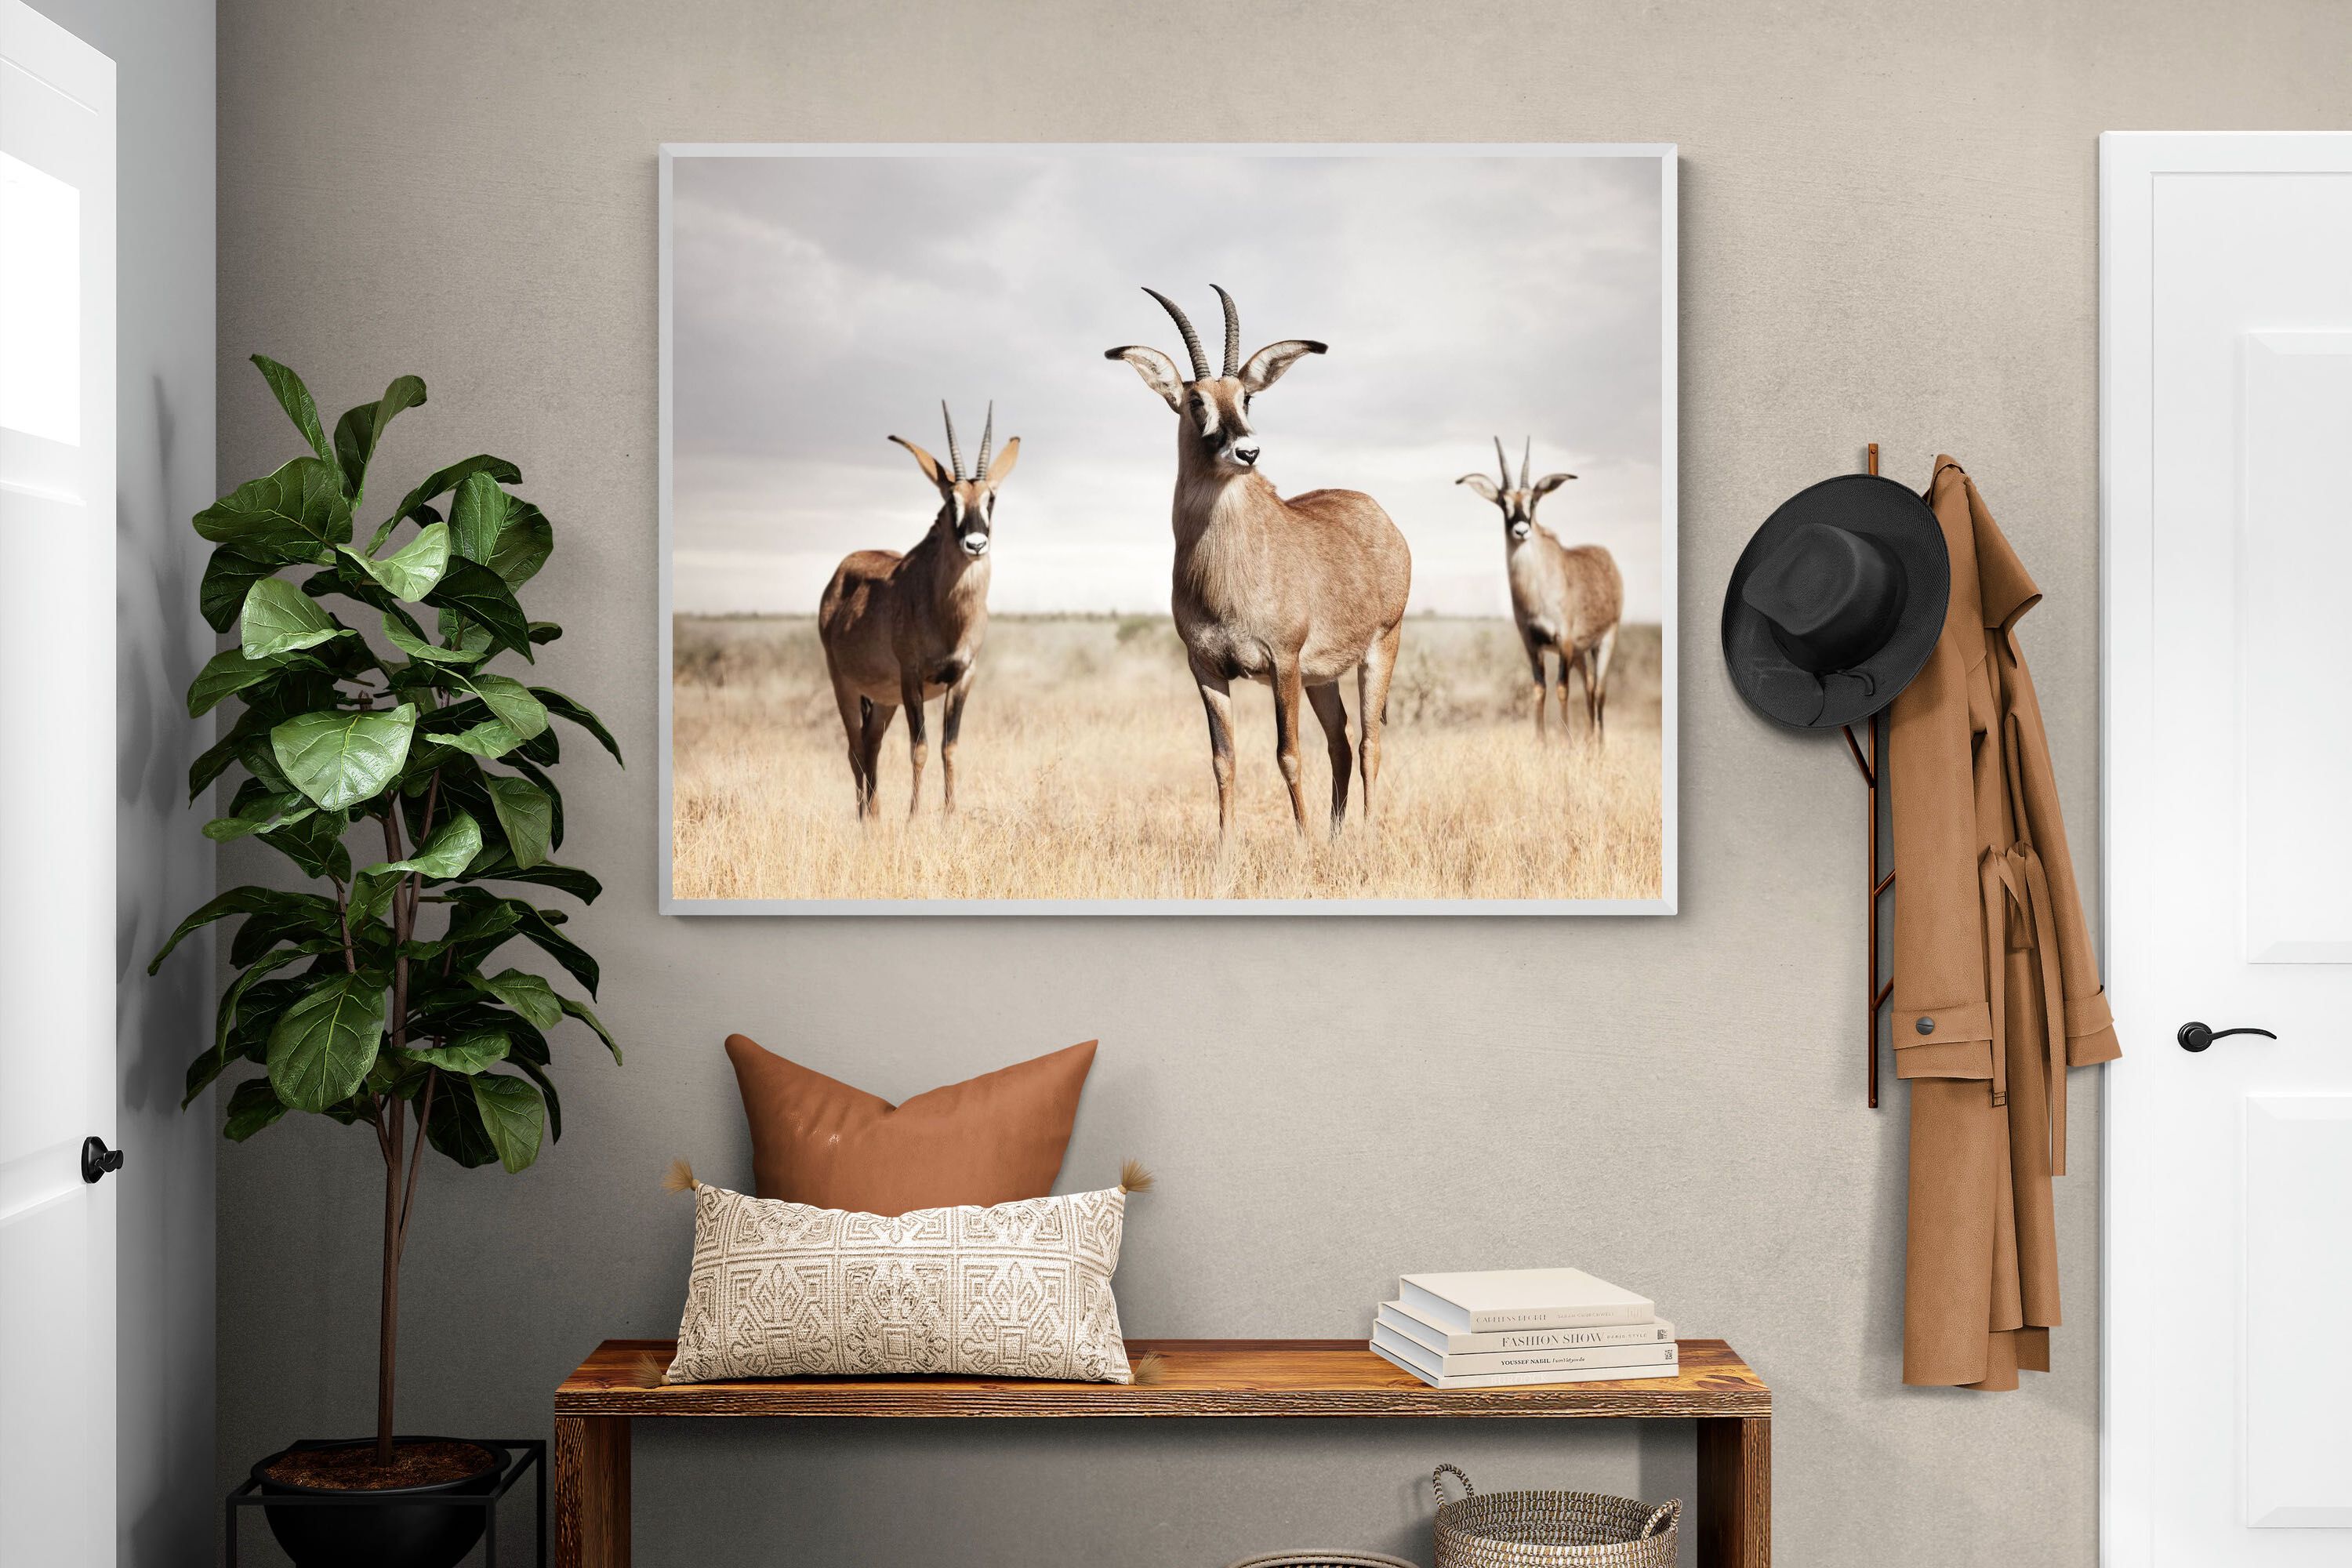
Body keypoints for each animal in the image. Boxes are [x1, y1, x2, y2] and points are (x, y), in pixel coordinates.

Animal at [817, 402, 1019, 819]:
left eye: (990, 498)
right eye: (950, 499)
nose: (976, 544)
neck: (948, 613)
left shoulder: (963, 677)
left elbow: (949, 747)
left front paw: (949, 816)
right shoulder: (912, 677)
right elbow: (921, 748)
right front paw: (913, 818)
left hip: (883, 699)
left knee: (871, 743)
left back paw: (875, 817)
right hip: (845, 684)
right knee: (855, 748)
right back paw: (867, 821)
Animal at [1107, 285, 1412, 839]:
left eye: (1245, 397)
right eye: (1196, 401)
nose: (1246, 452)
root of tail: (1381, 517)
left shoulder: (1282, 661)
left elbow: (1287, 755)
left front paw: (1303, 842)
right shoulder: (1206, 668)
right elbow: (1223, 760)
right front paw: (1226, 846)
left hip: (1379, 648)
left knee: (1368, 743)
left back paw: (1364, 834)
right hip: (1321, 677)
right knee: (1340, 742)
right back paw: (1337, 836)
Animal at [1458, 438, 1622, 740]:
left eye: (1533, 500)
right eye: (1503, 503)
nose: (1522, 530)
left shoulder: (1564, 640)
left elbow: (1562, 687)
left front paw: (1566, 742)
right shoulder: (1531, 642)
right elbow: (1539, 688)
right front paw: (1541, 743)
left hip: (1605, 641)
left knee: (1599, 690)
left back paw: (1598, 744)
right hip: (1581, 652)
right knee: (1589, 685)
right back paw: (1590, 742)